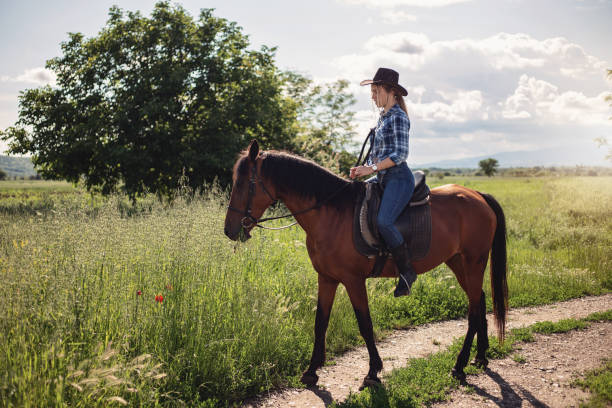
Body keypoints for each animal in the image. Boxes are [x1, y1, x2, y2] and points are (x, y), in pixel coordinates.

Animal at [224, 140, 506, 388]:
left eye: (243, 183)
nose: (229, 230)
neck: (331, 213)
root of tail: (478, 196)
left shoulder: (353, 280)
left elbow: (365, 324)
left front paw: (372, 372)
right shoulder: (326, 278)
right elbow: (320, 322)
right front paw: (312, 371)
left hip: (474, 261)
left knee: (473, 309)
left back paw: (459, 366)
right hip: (458, 262)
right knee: (479, 300)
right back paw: (480, 357)